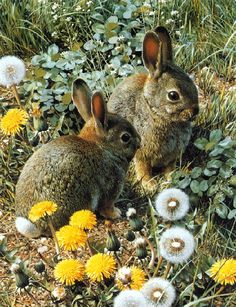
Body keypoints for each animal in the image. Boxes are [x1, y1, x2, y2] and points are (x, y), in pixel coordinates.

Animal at [15, 79, 140, 238]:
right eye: (125, 137)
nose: (140, 142)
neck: (104, 147)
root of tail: (34, 224)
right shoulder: (110, 188)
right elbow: (106, 207)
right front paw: (116, 213)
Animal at [108, 26, 199, 190]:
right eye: (173, 95)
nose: (195, 112)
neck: (156, 113)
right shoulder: (141, 153)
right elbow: (143, 168)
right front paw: (149, 185)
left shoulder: (172, 155)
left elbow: (169, 168)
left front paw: (171, 178)